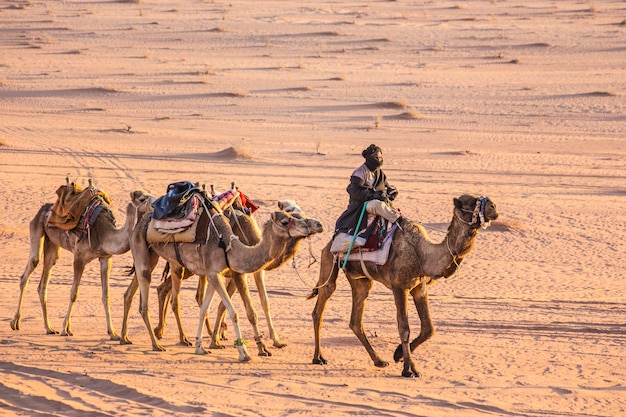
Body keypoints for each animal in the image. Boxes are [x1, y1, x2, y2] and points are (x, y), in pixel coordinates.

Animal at [10, 188, 154, 338]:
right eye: (142, 199)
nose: (155, 206)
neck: (105, 234)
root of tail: (43, 209)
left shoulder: (105, 258)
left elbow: (106, 296)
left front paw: (113, 333)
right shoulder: (79, 258)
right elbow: (74, 293)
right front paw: (65, 329)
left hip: (52, 244)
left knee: (44, 279)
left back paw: (49, 328)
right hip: (36, 228)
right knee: (30, 267)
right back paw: (15, 322)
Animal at [120, 197, 316, 360]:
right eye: (286, 220)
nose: (313, 225)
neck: (229, 245)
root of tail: (143, 218)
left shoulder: (217, 274)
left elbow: (206, 309)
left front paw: (202, 346)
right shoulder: (221, 273)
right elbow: (235, 311)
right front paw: (244, 352)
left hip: (155, 255)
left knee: (138, 290)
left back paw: (126, 337)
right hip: (142, 248)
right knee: (146, 300)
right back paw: (157, 343)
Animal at [308, 195, 498, 376]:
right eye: (469, 202)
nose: (493, 207)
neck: (424, 255)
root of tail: (330, 241)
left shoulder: (420, 288)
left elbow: (428, 328)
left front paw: (398, 354)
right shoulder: (399, 286)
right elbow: (404, 327)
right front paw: (409, 369)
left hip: (361, 279)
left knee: (356, 319)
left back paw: (379, 361)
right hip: (329, 260)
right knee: (322, 304)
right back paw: (318, 357)